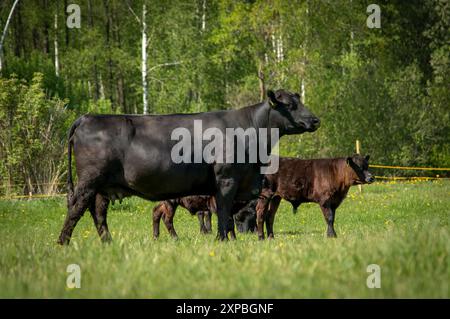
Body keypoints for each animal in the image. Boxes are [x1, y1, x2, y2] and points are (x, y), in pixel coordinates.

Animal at [58, 89, 322, 244]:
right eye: (290, 105)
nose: (315, 120)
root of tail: (88, 117)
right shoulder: (227, 179)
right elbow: (224, 212)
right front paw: (223, 240)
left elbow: (226, 215)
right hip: (89, 180)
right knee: (76, 207)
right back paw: (63, 243)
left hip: (102, 187)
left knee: (98, 212)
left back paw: (108, 243)